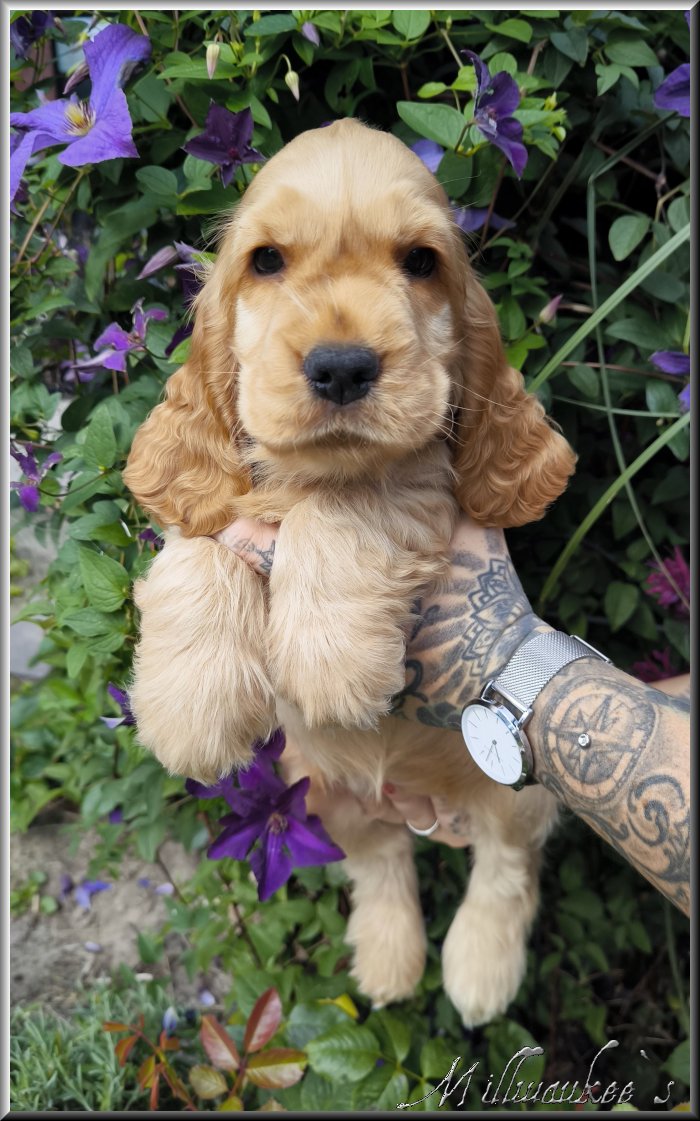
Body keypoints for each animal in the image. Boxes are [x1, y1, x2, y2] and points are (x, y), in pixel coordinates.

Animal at [123, 118, 576, 1026]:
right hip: (318, 793)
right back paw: (389, 963)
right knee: (381, 861)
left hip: (519, 782)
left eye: (421, 261)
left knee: (507, 865)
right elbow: (202, 539)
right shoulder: (215, 494)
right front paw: (188, 703)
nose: (340, 367)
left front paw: (329, 658)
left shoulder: (425, 487)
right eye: (266, 260)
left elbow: (352, 498)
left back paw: (477, 972)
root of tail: (420, 801)